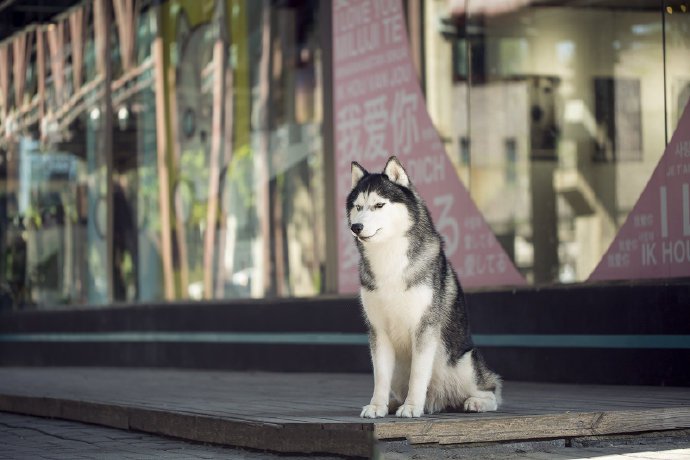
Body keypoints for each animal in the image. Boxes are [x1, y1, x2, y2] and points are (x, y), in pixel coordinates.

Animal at [346, 156, 498, 418]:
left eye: (379, 205)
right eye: (357, 206)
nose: (356, 227)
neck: (389, 258)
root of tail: (439, 401)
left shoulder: (424, 327)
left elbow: (418, 374)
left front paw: (411, 407)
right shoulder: (378, 331)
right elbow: (380, 376)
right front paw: (377, 405)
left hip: (463, 362)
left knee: (492, 391)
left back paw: (475, 402)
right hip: (401, 369)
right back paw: (394, 403)